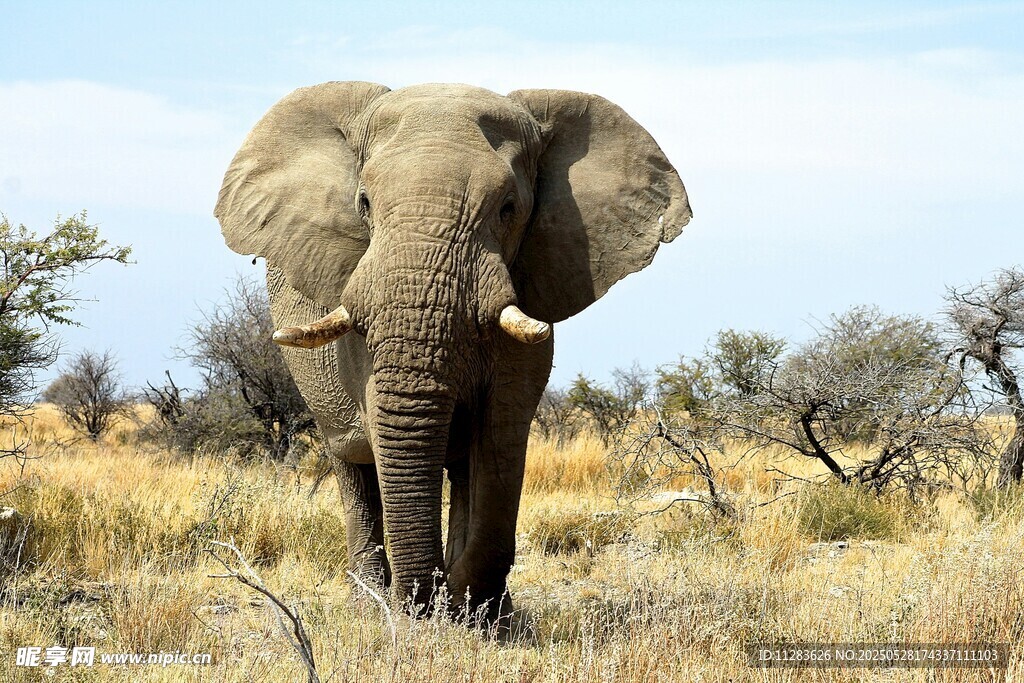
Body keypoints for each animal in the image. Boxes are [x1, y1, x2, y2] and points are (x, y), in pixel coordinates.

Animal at [214, 82, 691, 625]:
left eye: (508, 207)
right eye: (364, 203)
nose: (423, 604)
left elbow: (501, 436)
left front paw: (479, 615)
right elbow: (385, 425)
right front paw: (433, 610)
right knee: (352, 463)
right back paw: (370, 602)